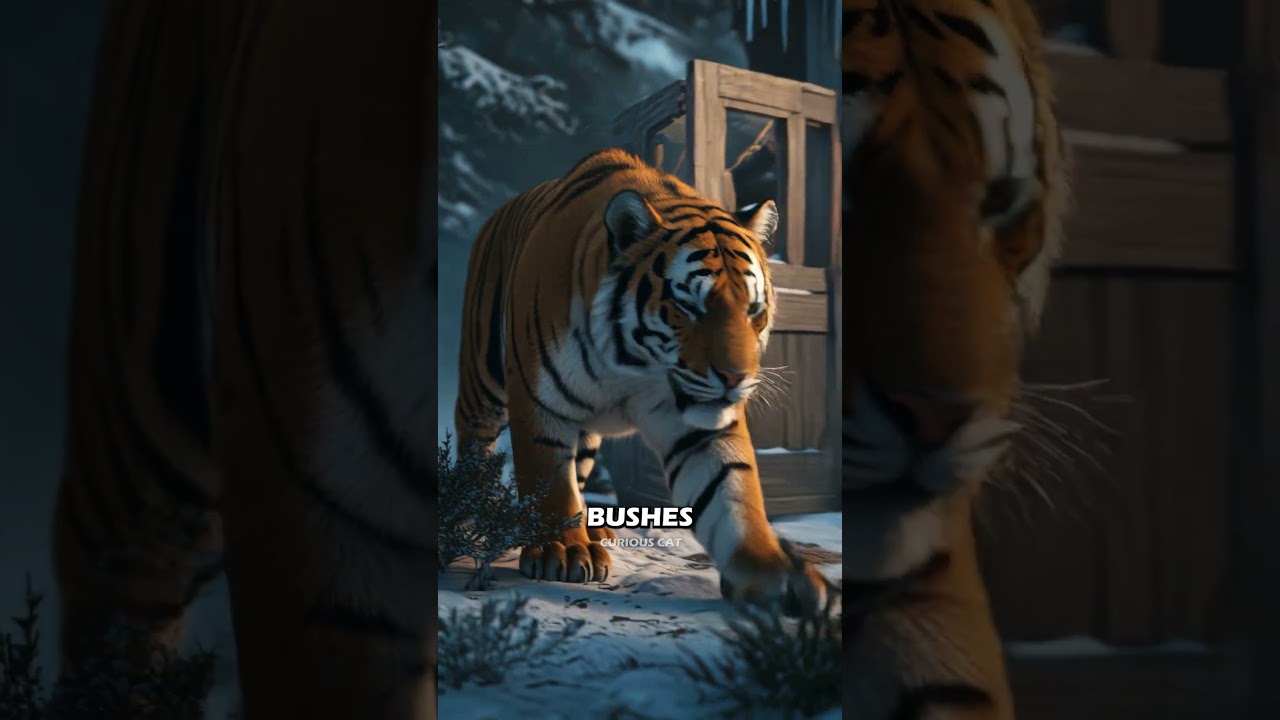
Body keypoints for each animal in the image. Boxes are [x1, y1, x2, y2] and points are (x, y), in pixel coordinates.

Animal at [454, 148, 831, 612]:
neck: (630, 360)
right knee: (475, 439)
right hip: (483, 378)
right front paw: (564, 550)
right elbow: (550, 480)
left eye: (753, 309)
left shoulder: (702, 426)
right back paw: (471, 512)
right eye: (691, 307)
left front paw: (773, 572)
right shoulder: (540, 402)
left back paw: (594, 527)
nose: (735, 377)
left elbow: (733, 493)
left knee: (579, 466)